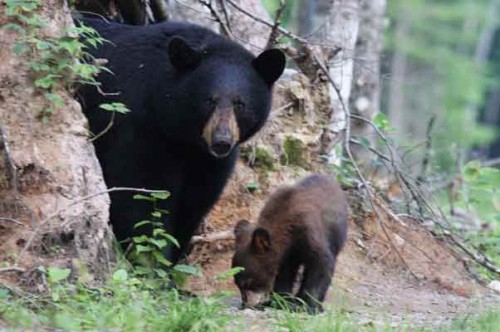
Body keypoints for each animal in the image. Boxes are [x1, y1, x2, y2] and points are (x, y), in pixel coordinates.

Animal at [77, 18, 286, 264]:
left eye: (240, 103)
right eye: (209, 100)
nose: (221, 141)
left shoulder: (208, 160)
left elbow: (196, 200)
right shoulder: (138, 126)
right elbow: (139, 192)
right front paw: (151, 260)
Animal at [231, 174, 346, 314]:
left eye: (248, 283)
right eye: (237, 284)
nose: (245, 305)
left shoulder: (309, 232)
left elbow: (322, 263)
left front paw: (310, 306)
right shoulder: (285, 255)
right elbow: (284, 275)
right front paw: (280, 301)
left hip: (336, 234)